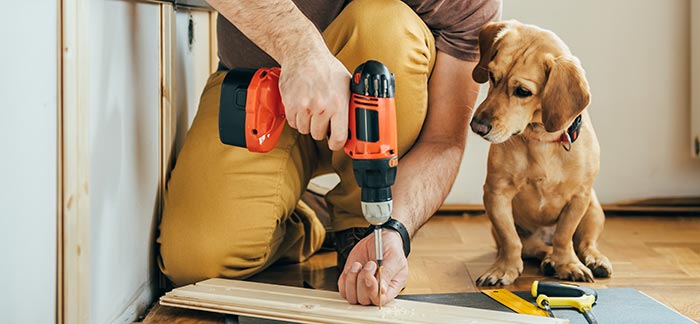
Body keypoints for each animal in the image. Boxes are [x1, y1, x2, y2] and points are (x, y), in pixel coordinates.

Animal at [470, 19, 612, 286]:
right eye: (492, 76)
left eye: (523, 91)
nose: (477, 126)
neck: (541, 141)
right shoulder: (496, 194)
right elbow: (510, 240)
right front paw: (504, 269)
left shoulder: (579, 197)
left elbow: (564, 236)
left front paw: (568, 264)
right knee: (536, 248)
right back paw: (548, 260)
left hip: (593, 210)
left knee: (586, 243)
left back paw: (594, 260)